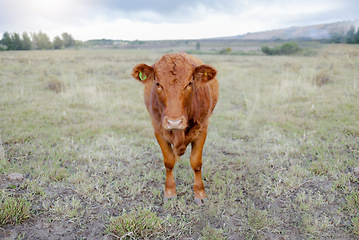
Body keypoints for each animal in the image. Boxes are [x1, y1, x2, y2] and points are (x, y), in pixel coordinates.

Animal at [131, 52, 218, 204]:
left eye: (189, 83)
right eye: (158, 84)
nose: (174, 122)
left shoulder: (202, 129)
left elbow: (196, 163)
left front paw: (200, 193)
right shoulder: (158, 129)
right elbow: (169, 162)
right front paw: (170, 192)